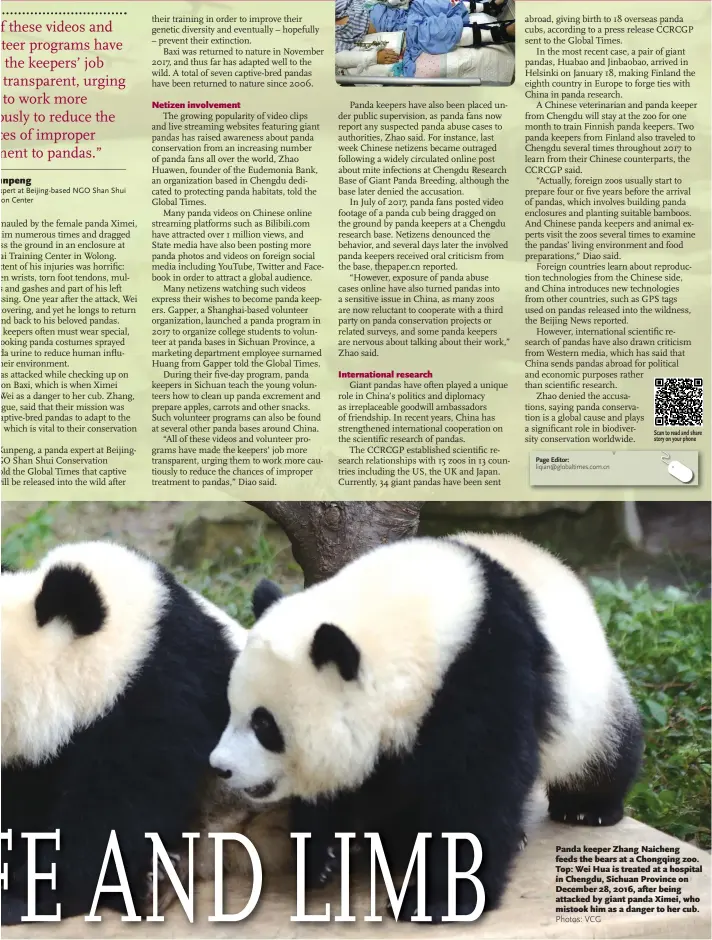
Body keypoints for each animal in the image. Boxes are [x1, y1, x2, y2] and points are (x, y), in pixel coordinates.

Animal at [209, 532, 644, 920]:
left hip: (591, 695)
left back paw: (587, 809)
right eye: (231, 708)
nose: (220, 767)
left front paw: (435, 900)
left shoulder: (487, 670)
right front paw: (325, 855)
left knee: (602, 747)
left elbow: (478, 790)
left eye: (264, 724)